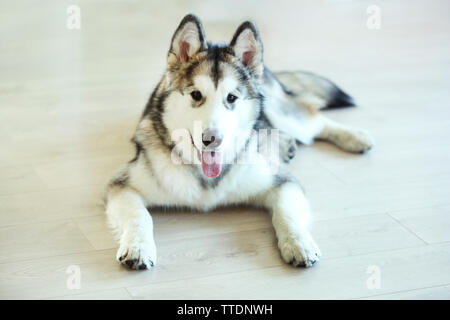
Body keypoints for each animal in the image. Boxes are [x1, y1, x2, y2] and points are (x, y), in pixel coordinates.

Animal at [104, 14, 372, 270]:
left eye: (231, 98)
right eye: (196, 95)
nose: (212, 140)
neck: (206, 180)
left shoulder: (282, 182)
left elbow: (286, 214)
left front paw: (299, 243)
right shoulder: (122, 186)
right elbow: (140, 216)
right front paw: (138, 247)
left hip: (282, 111)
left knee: (313, 120)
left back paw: (355, 137)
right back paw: (286, 144)